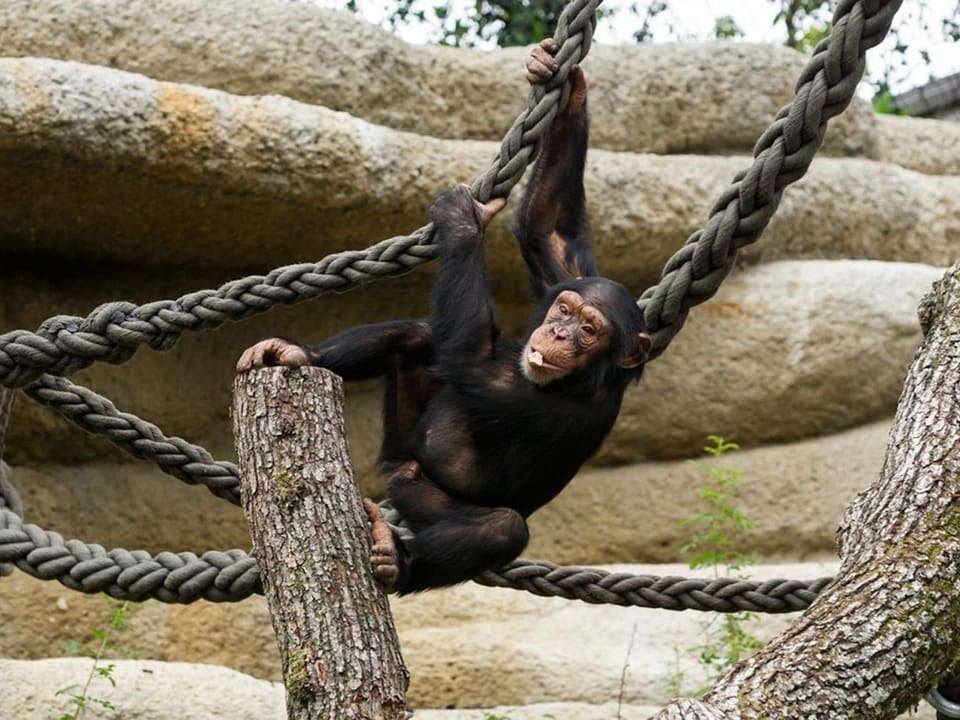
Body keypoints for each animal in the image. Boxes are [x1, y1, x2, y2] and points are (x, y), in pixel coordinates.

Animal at [236, 38, 652, 592]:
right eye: (565, 309)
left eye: (589, 330)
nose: (559, 332)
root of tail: (399, 472)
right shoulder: (574, 274)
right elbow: (548, 225)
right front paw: (565, 81)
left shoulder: (544, 399)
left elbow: (470, 360)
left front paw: (464, 221)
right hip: (404, 446)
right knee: (415, 336)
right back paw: (298, 355)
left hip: (430, 497)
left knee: (503, 528)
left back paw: (397, 560)